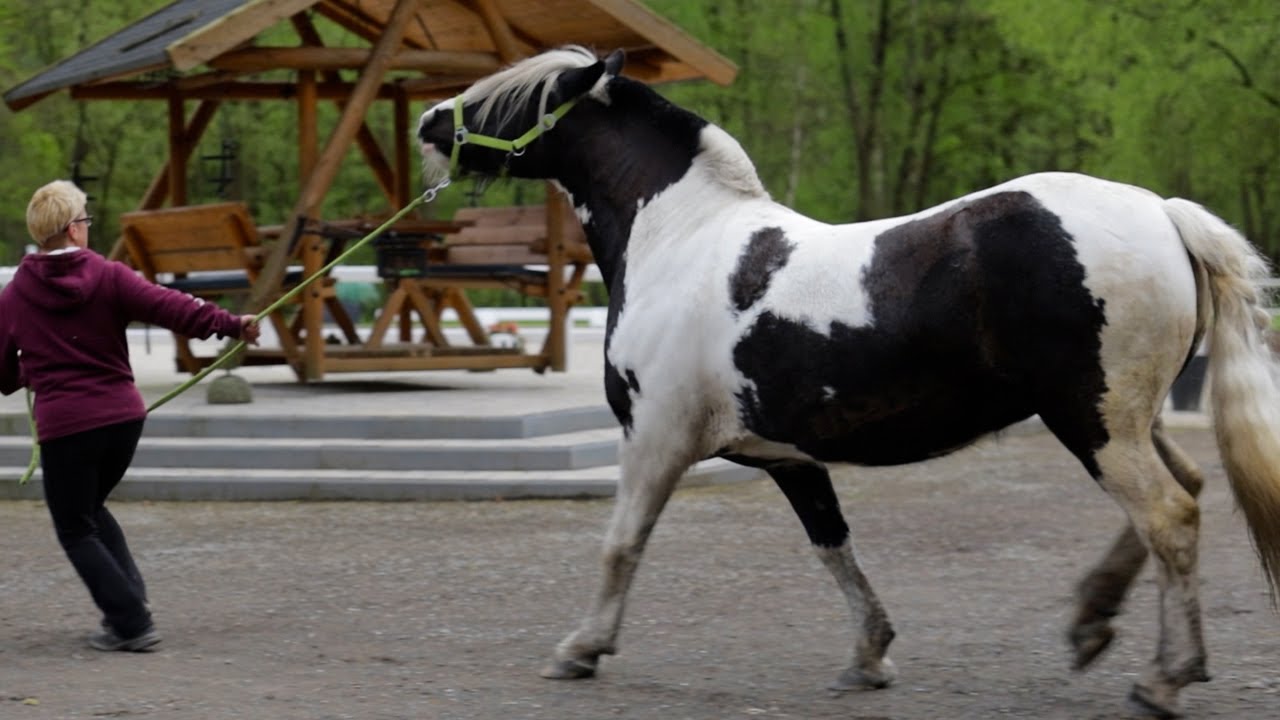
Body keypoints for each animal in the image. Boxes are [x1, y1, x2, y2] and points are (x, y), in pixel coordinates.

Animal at [417, 46, 1280, 717]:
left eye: (513, 95)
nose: (430, 122)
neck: (682, 243)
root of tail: (1163, 214)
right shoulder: (789, 458)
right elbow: (834, 547)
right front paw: (870, 657)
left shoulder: (656, 438)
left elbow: (621, 544)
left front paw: (582, 647)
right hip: (1127, 418)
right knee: (1185, 491)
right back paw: (1099, 628)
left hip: (1094, 421)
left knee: (1169, 516)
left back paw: (1164, 679)